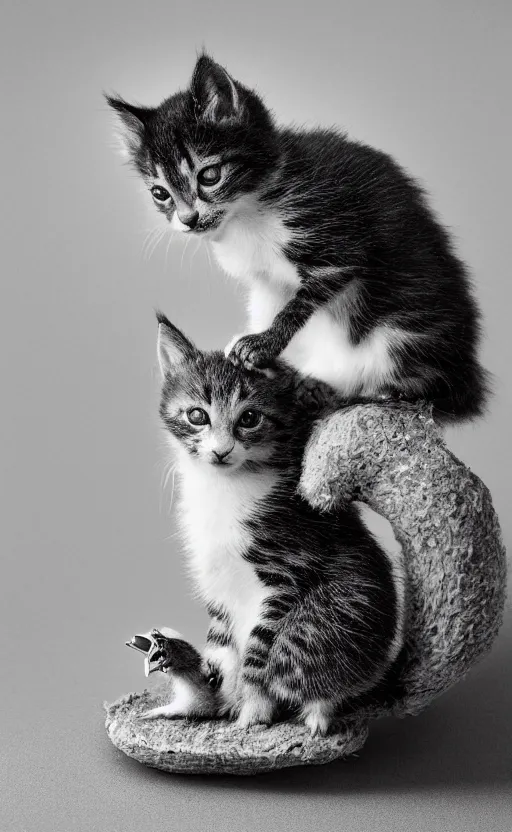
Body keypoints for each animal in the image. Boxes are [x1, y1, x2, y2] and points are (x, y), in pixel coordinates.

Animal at [107, 53, 488, 422]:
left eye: (210, 175)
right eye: (160, 193)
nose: (188, 220)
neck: (249, 210)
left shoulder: (335, 240)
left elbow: (299, 304)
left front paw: (262, 345)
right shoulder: (267, 280)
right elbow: (275, 303)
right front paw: (257, 360)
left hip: (407, 330)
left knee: (427, 390)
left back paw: (364, 394)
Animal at [150, 314, 406, 736]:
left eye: (249, 419)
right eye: (197, 415)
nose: (221, 451)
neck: (224, 486)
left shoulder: (287, 567)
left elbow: (257, 652)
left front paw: (253, 711)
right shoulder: (213, 573)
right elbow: (221, 641)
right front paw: (220, 697)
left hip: (324, 617)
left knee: (302, 663)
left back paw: (318, 717)